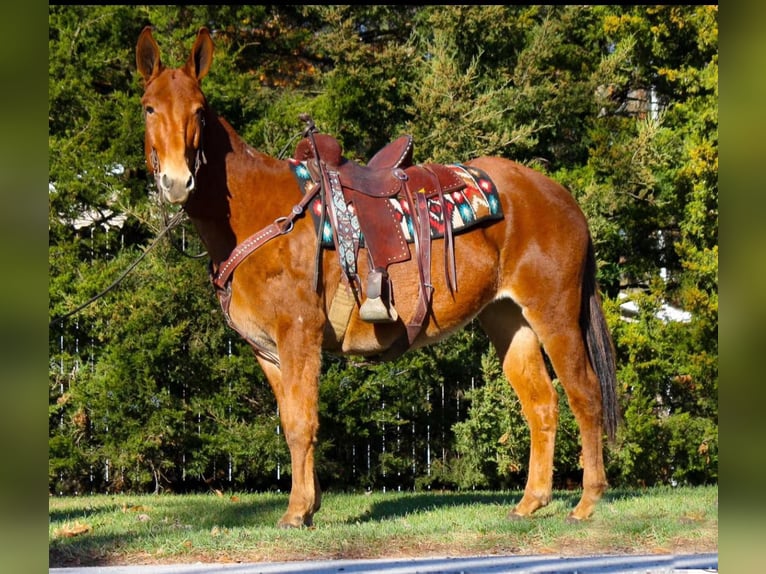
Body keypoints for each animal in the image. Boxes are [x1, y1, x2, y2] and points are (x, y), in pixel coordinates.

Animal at [136, 26, 619, 528]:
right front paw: (309, 505)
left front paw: (296, 511)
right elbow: (290, 420)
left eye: (199, 111)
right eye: (148, 107)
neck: (262, 213)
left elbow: (302, 423)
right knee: (541, 403)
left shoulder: (299, 334)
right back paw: (531, 501)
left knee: (585, 394)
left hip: (555, 314)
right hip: (509, 320)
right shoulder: (267, 351)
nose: (177, 182)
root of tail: (561, 196)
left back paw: (587, 500)